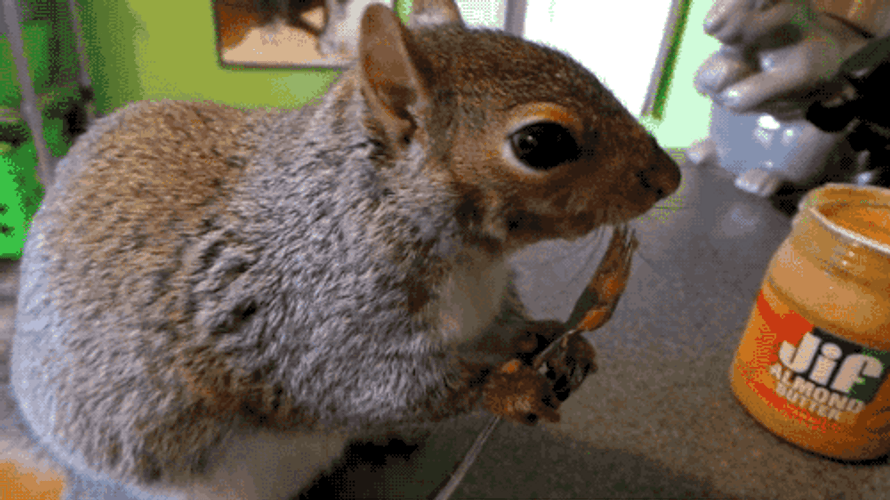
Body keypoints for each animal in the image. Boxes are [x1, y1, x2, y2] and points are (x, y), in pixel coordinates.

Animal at [11, 0, 681, 498]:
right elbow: (356, 385)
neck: (473, 264)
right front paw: (506, 390)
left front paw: (555, 338)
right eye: (540, 143)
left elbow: (504, 330)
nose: (670, 177)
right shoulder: (307, 311)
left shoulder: (477, 308)